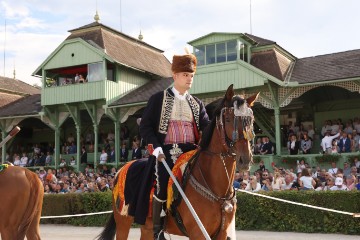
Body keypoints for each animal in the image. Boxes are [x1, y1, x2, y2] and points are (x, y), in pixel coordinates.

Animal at [97, 85, 258, 240]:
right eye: (228, 119)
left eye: (251, 120)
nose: (245, 159)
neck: (218, 191)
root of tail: (121, 170)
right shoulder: (198, 233)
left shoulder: (222, 233)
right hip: (123, 222)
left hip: (146, 228)